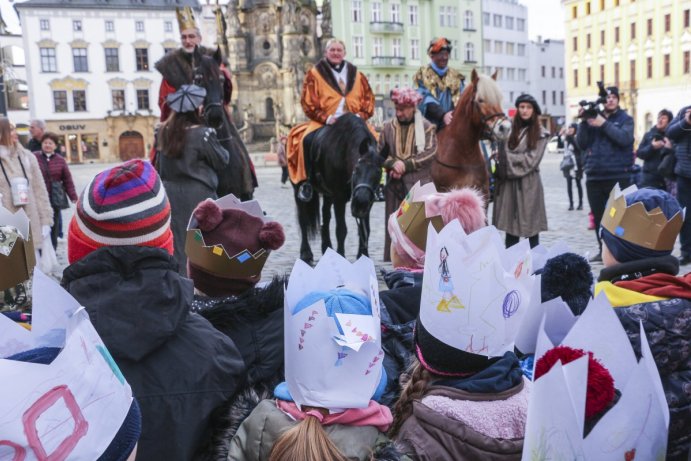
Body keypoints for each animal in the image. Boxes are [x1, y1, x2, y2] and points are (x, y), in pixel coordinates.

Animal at [296, 113, 384, 264]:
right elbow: (341, 229)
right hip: (298, 187)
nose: (361, 201)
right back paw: (306, 253)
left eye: (378, 172)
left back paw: (326, 248)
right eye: (356, 169)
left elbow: (365, 229)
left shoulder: (368, 200)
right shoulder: (339, 197)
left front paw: (363, 255)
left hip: (328, 194)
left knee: (326, 215)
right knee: (303, 219)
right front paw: (341, 256)